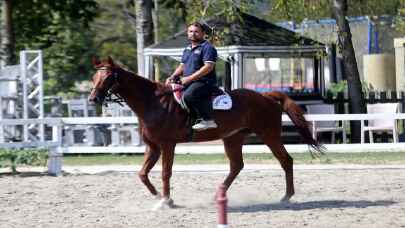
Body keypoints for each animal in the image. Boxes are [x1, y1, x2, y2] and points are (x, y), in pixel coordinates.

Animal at [88, 56, 322, 208]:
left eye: (108, 78)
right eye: (93, 78)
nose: (92, 99)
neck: (153, 102)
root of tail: (267, 96)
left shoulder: (167, 145)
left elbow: (165, 173)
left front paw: (167, 200)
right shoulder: (153, 146)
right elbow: (143, 174)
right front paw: (157, 197)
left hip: (269, 135)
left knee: (286, 161)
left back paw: (286, 196)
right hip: (233, 138)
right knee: (237, 166)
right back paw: (218, 194)